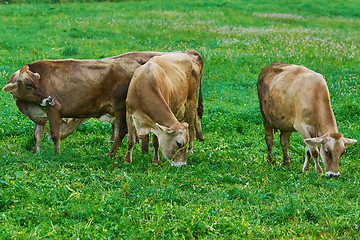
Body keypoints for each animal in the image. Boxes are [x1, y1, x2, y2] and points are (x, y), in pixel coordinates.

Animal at [2, 51, 166, 156]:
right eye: (29, 84)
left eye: (37, 80)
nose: (49, 99)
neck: (29, 105)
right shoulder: (39, 117)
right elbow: (37, 135)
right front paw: (36, 153)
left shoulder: (54, 110)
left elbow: (55, 134)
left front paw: (56, 154)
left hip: (120, 108)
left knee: (121, 131)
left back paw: (111, 154)